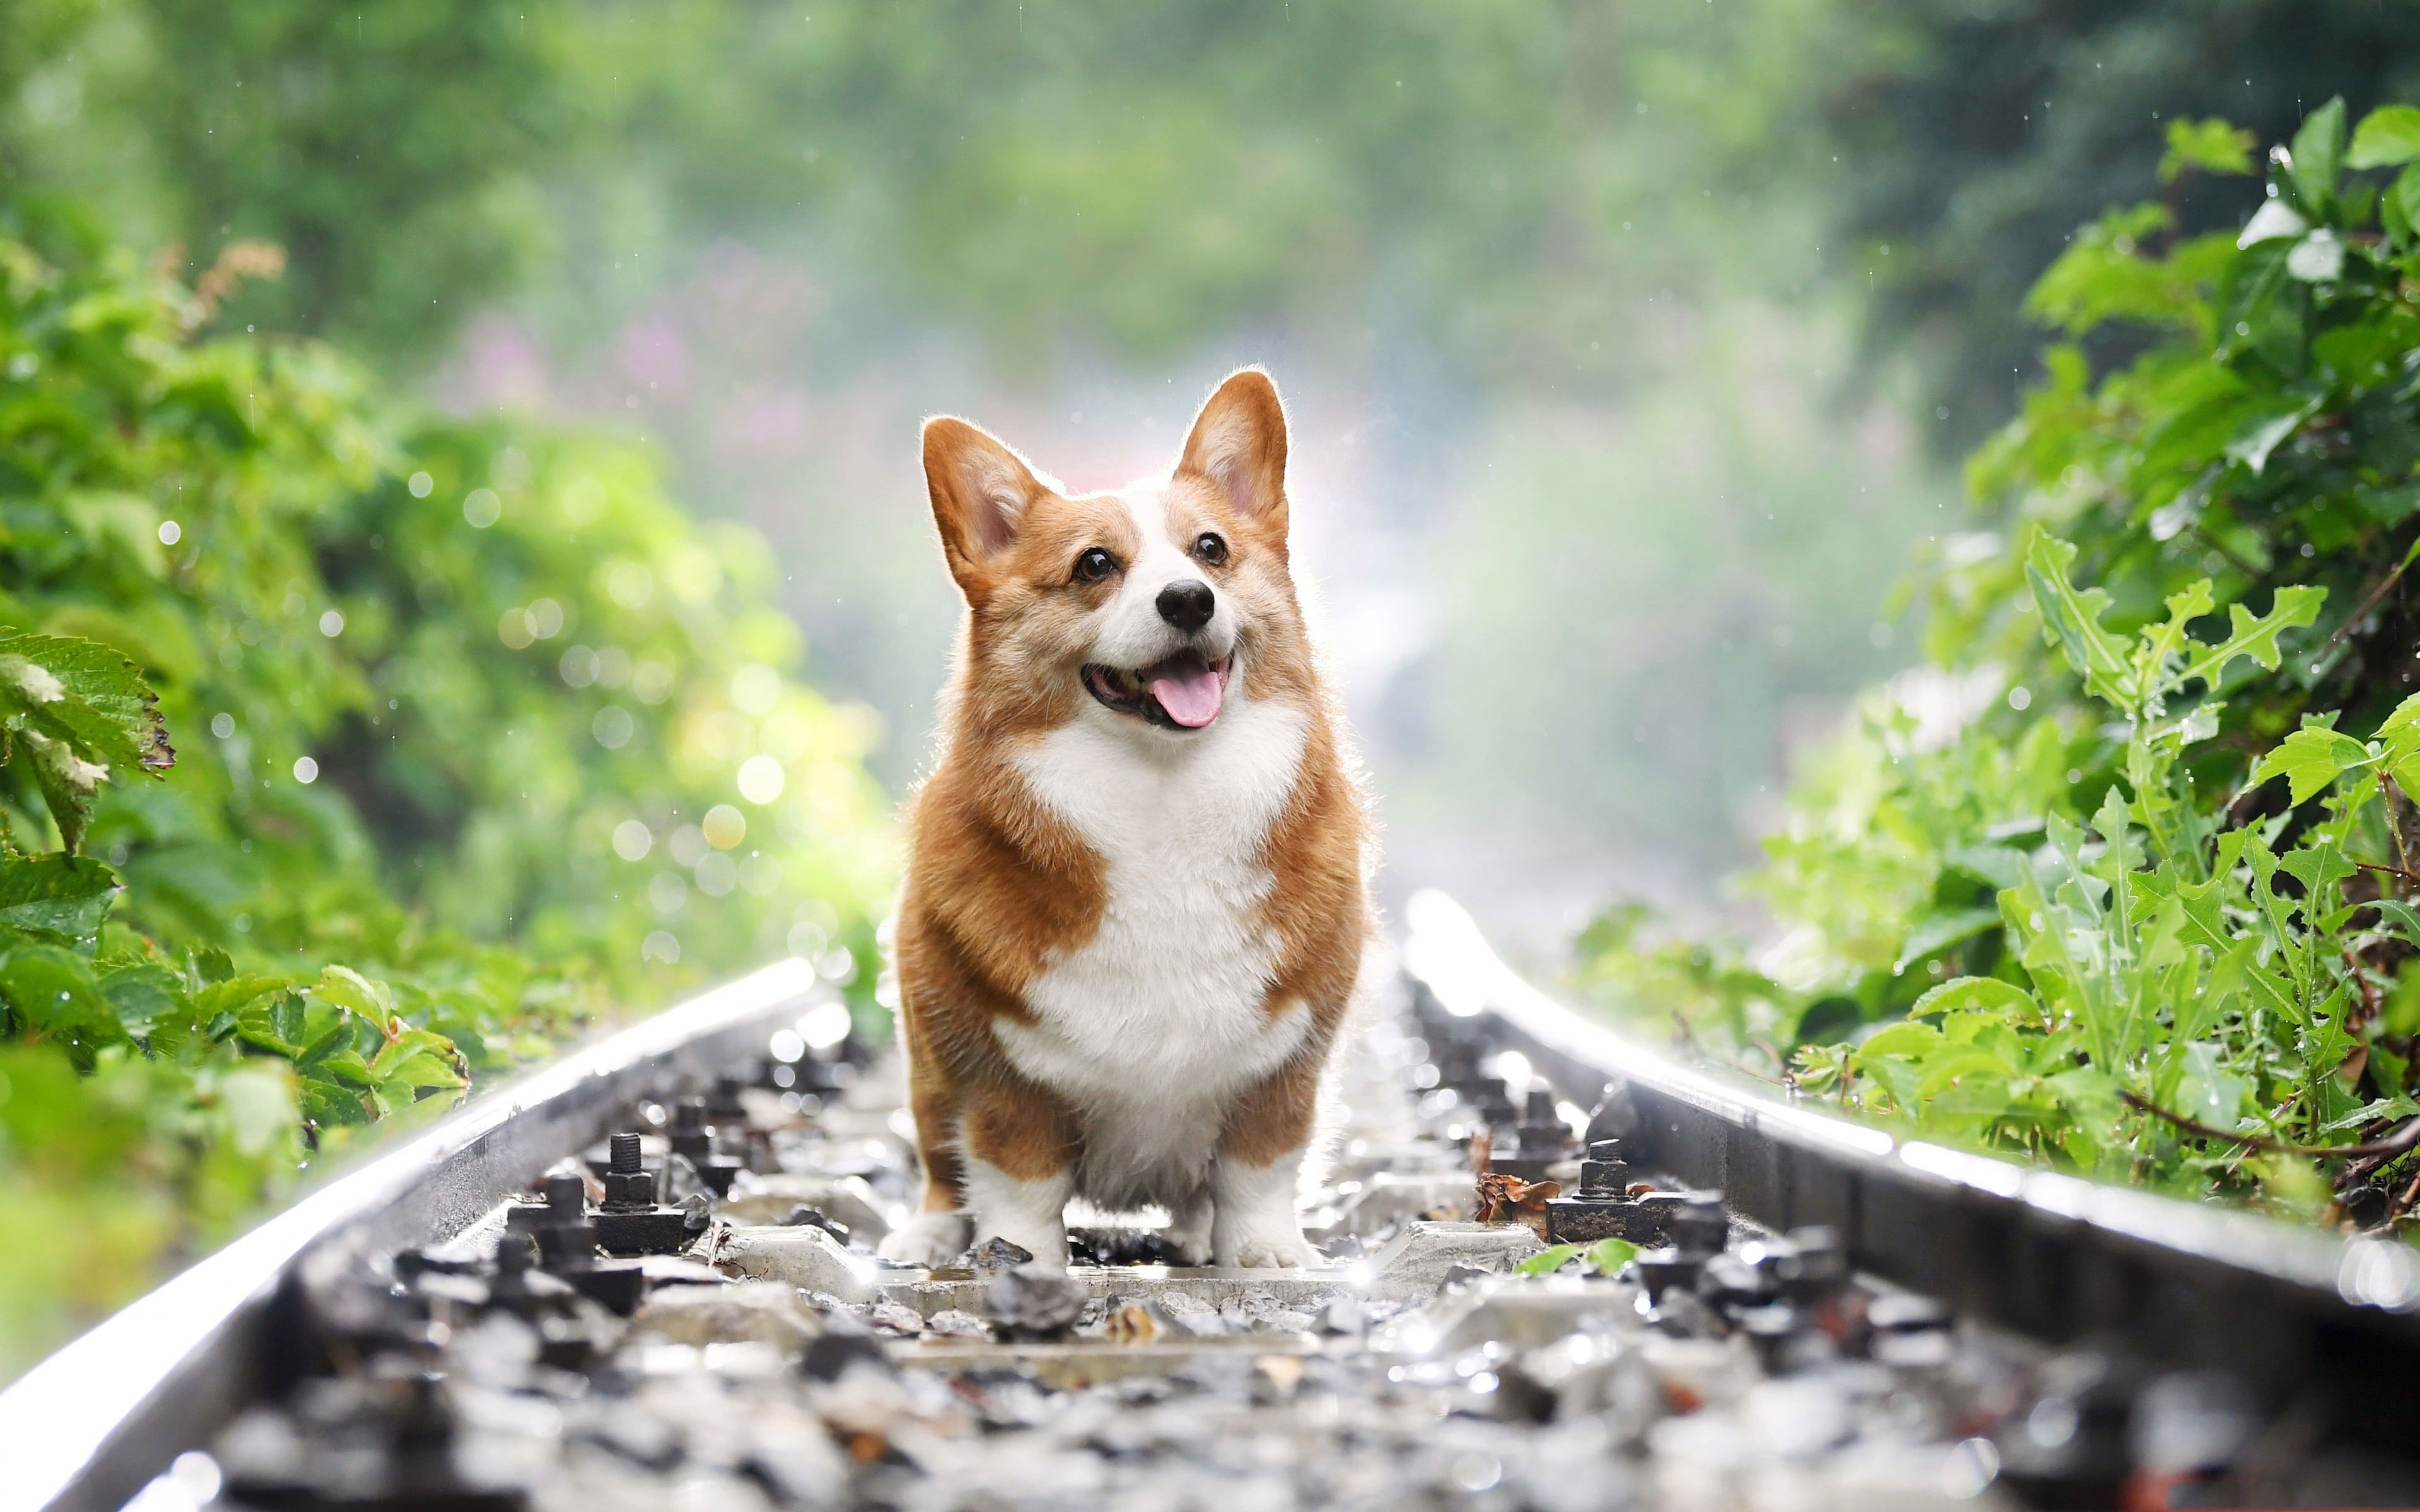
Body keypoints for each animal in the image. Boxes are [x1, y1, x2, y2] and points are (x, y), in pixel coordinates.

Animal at [880, 372, 1374, 1268]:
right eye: (1095, 565)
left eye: (1211, 549)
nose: (1188, 600)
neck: (1162, 799)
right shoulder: (996, 1072)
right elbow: (1018, 1180)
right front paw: (1025, 1259)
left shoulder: (1287, 1065)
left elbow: (1259, 1170)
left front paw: (1267, 1254)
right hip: (928, 1074)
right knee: (940, 1164)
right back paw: (927, 1236)